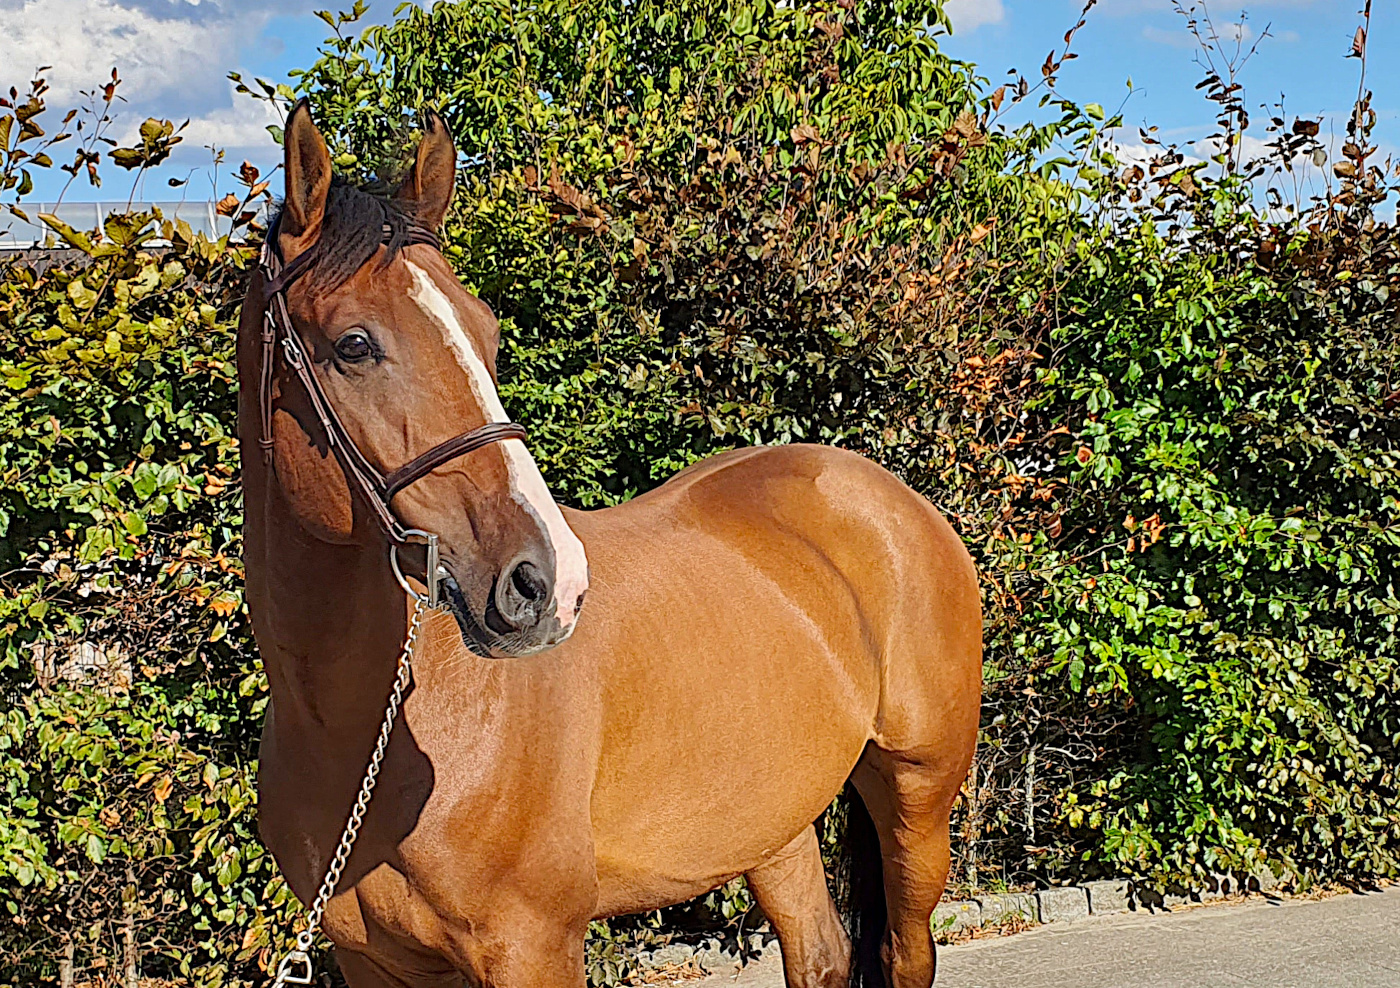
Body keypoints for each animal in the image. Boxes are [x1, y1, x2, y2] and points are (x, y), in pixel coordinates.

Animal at [238, 100, 982, 988]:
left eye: (487, 333)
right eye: (353, 344)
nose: (544, 583)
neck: (364, 741)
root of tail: (884, 492)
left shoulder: (532, 948)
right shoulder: (371, 963)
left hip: (917, 797)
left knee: (905, 950)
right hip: (771, 820)